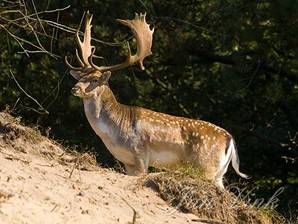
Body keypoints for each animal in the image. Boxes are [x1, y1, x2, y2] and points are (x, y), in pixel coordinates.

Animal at [66, 12, 249, 189]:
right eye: (81, 77)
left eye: (95, 79)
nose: (75, 88)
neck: (114, 131)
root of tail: (230, 138)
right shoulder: (127, 161)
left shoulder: (140, 154)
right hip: (219, 174)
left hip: (206, 167)